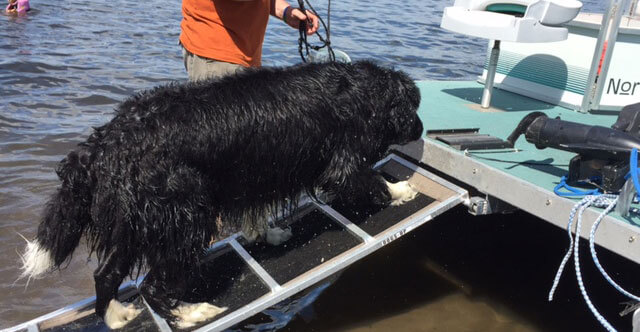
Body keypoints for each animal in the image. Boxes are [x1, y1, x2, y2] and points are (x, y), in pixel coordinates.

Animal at [20, 60, 422, 330]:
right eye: (413, 108)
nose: (421, 128)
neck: (359, 91)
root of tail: (104, 143)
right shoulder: (342, 160)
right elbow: (369, 178)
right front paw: (401, 189)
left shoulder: (257, 173)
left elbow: (255, 213)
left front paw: (267, 234)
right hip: (183, 215)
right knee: (151, 284)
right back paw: (191, 312)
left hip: (138, 221)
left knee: (107, 273)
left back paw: (116, 315)